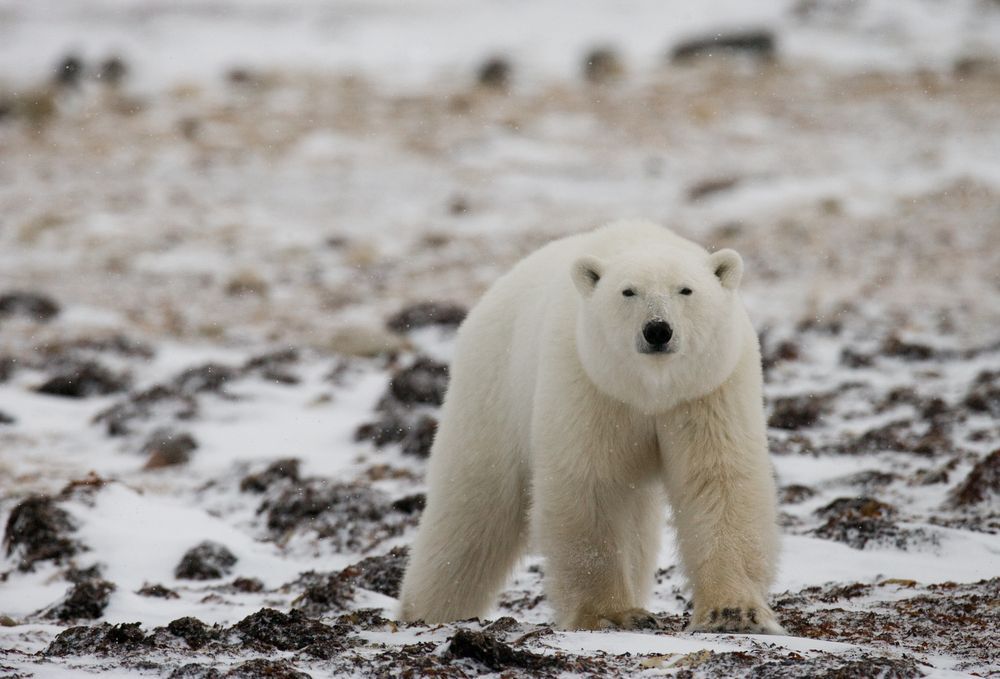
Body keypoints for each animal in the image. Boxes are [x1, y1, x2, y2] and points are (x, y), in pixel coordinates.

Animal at [398, 219, 783, 634]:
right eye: (628, 291)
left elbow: (718, 480)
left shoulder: (708, 390)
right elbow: (591, 484)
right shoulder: (588, 382)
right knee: (473, 508)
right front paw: (613, 614)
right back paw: (427, 612)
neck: (650, 390)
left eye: (685, 289)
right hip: (493, 389)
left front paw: (733, 613)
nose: (657, 330)